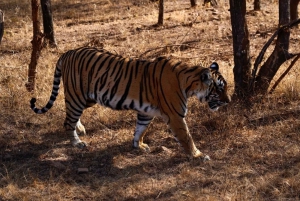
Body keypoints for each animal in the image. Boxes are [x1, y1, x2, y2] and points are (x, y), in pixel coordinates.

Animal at [29, 46, 230, 160]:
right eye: (219, 89)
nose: (228, 101)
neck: (189, 83)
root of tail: (68, 52)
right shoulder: (175, 116)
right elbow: (186, 137)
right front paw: (198, 155)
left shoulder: (146, 112)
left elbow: (140, 129)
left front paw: (138, 146)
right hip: (77, 96)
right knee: (67, 121)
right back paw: (77, 142)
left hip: (87, 98)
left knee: (70, 115)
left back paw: (80, 129)